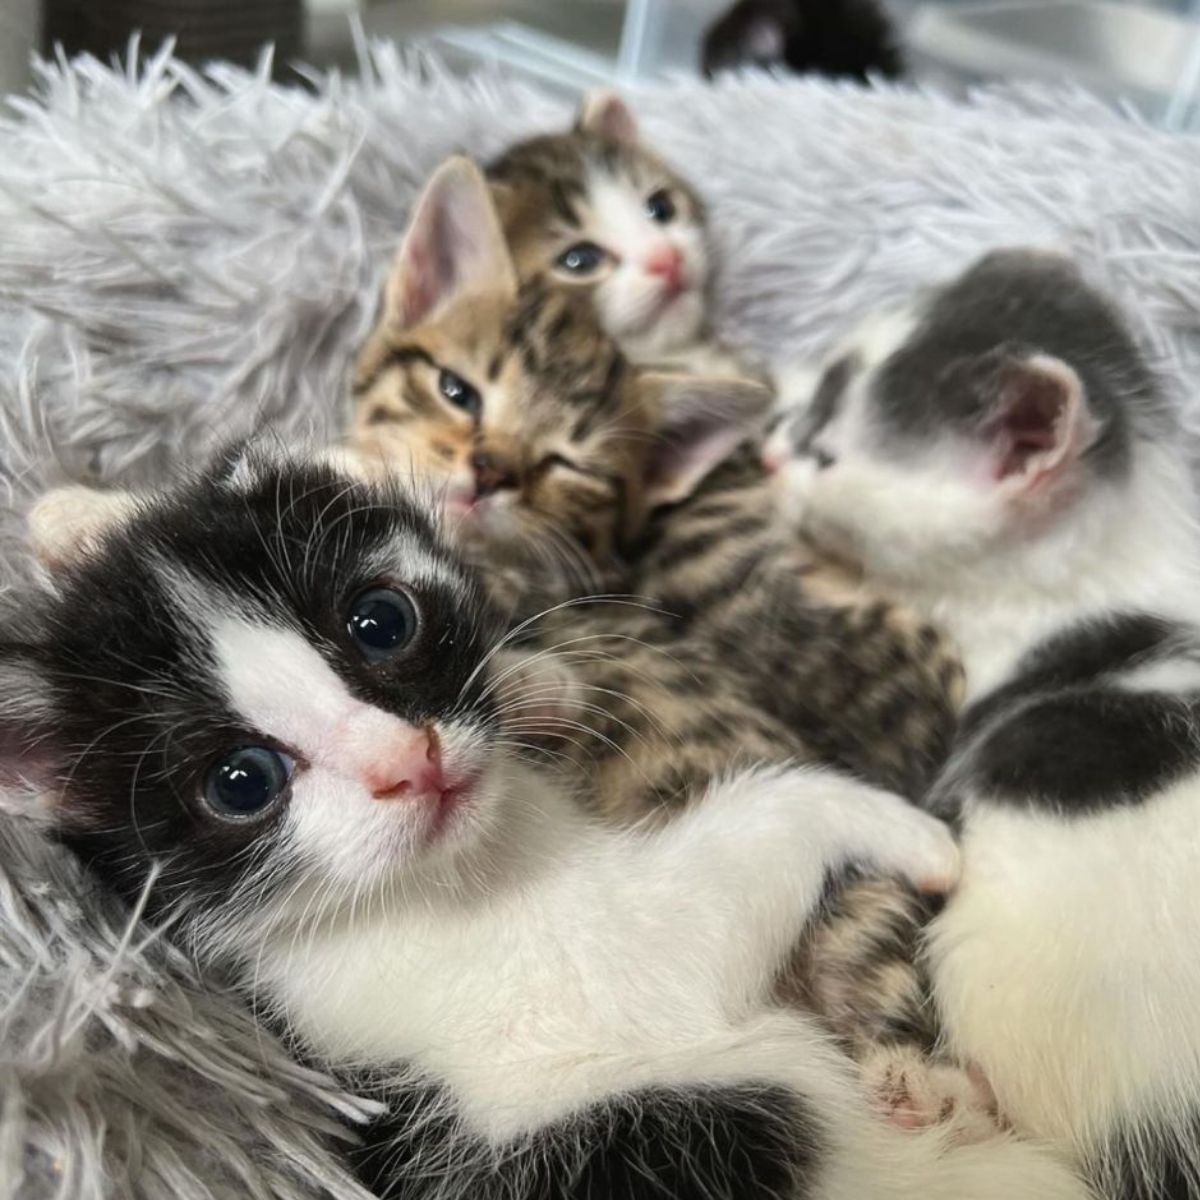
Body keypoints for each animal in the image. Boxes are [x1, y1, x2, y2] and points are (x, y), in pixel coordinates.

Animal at [0, 448, 1094, 1200]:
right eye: (239, 781)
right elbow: (765, 814)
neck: (476, 870)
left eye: (380, 622)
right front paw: (914, 834)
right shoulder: (630, 960)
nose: (407, 763)